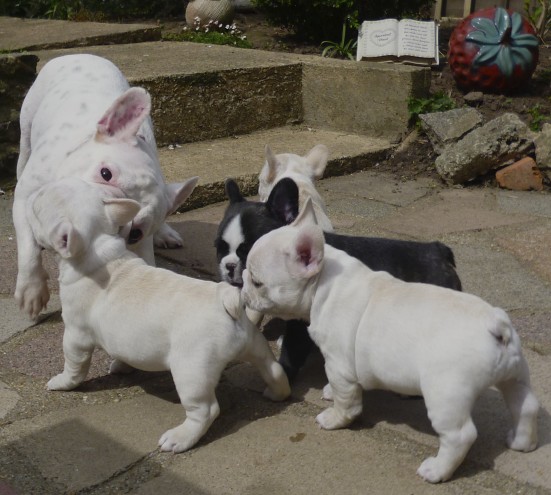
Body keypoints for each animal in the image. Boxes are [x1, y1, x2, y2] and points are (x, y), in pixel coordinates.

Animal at [12, 53, 199, 318]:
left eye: (135, 233)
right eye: (105, 173)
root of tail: (81, 54)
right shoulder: (24, 199)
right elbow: (28, 248)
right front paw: (32, 291)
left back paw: (165, 232)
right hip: (26, 132)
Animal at [29, 178, 294, 454]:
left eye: (37, 209)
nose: (35, 192)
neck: (98, 249)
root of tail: (226, 300)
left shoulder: (75, 334)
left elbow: (74, 365)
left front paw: (62, 383)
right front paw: (122, 366)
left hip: (191, 370)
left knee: (207, 409)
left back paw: (180, 437)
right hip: (254, 345)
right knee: (273, 368)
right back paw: (278, 392)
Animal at [213, 178, 464, 380]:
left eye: (248, 251)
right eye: (219, 248)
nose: (229, 266)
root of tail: (438, 250)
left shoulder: (302, 321)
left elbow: (292, 349)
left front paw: (283, 374)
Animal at [242, 199, 540, 484]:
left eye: (257, 282)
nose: (242, 288)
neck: (324, 283)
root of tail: (495, 326)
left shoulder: (339, 364)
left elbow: (346, 400)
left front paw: (335, 419)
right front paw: (329, 392)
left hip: (446, 394)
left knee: (461, 435)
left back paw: (437, 470)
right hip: (515, 375)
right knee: (525, 406)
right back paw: (521, 443)